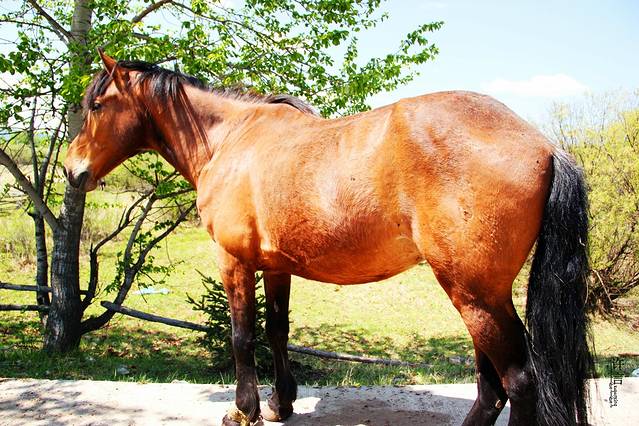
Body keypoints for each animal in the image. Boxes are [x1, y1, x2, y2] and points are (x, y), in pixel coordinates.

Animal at [64, 51, 594, 426]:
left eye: (96, 105)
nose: (72, 171)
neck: (230, 140)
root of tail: (546, 146)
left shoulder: (234, 261)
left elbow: (241, 336)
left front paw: (243, 410)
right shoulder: (276, 266)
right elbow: (276, 331)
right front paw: (280, 403)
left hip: (475, 295)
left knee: (518, 382)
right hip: (480, 294)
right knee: (491, 388)